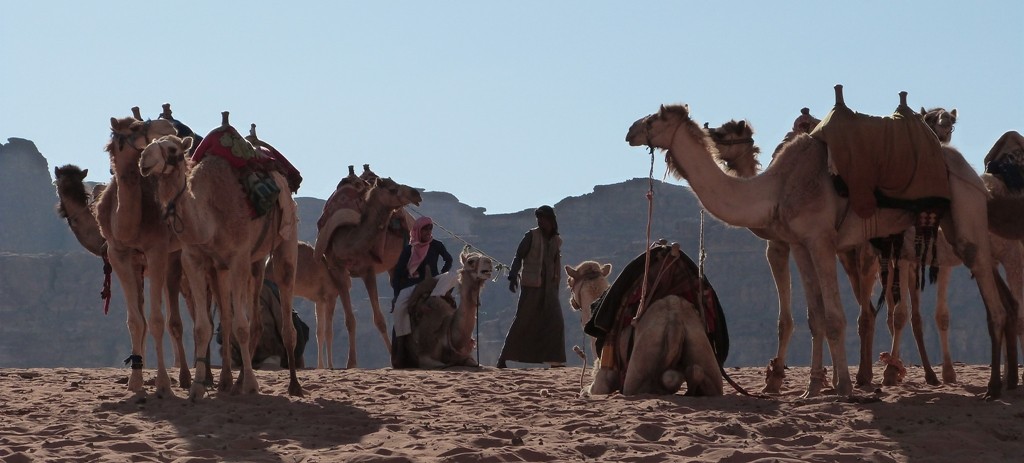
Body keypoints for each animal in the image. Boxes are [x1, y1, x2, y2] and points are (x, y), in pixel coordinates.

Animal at [622, 87, 1015, 397]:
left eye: (655, 118)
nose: (629, 130)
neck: (776, 186)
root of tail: (974, 175)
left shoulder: (821, 239)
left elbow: (835, 317)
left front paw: (842, 388)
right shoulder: (799, 244)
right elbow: (815, 317)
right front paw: (813, 388)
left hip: (963, 220)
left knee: (988, 299)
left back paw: (992, 388)